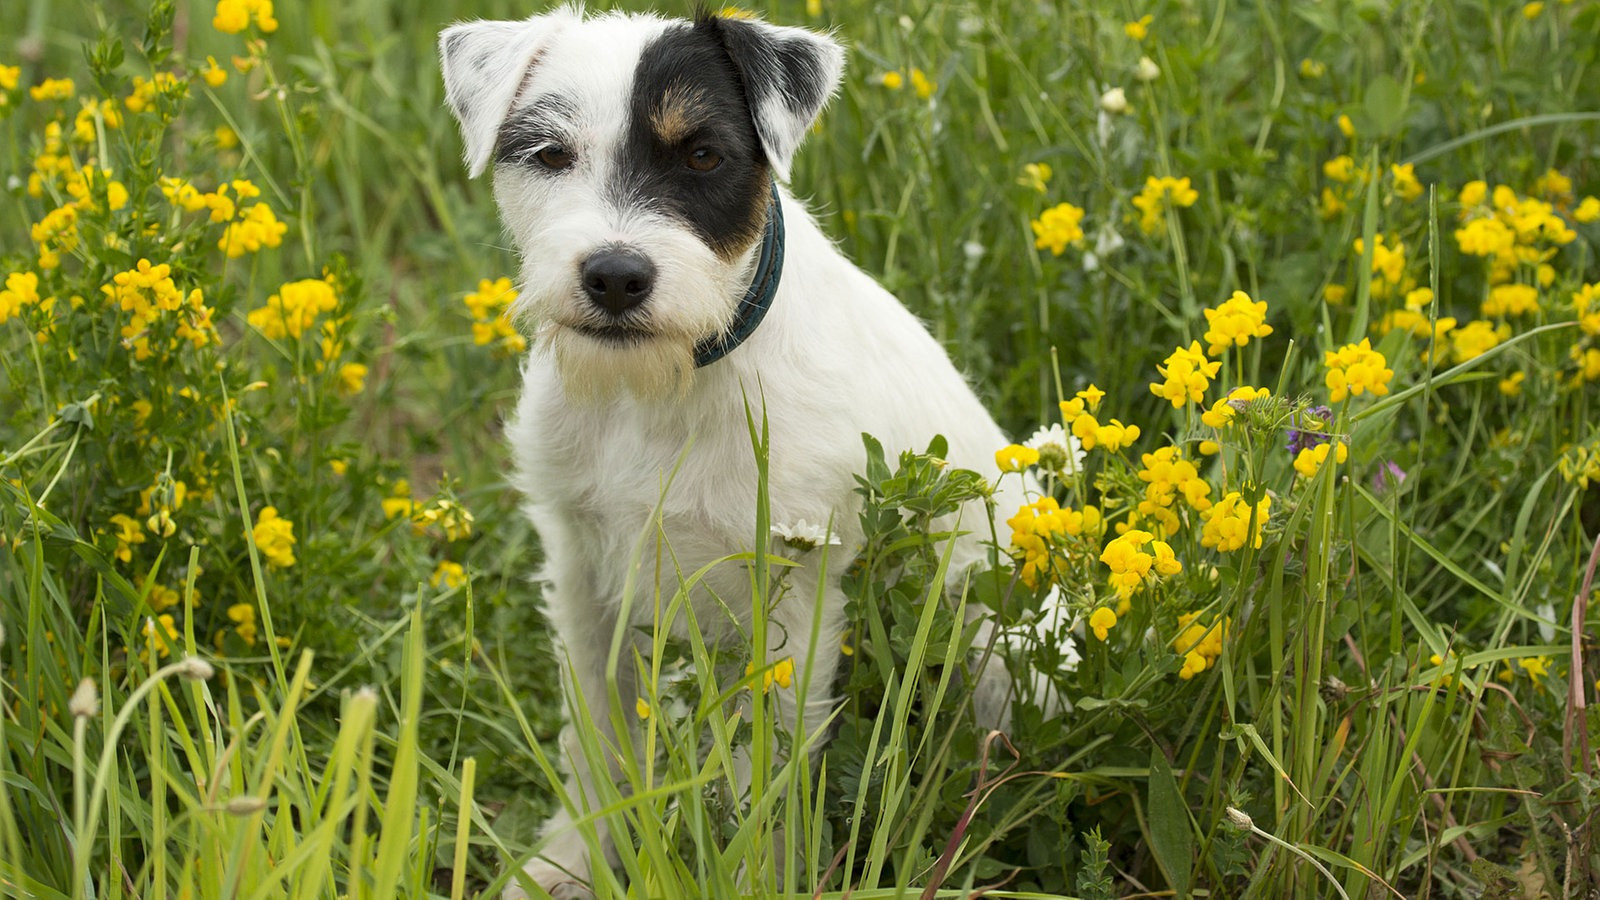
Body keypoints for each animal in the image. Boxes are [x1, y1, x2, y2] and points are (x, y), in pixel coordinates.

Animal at [441, 5, 1024, 890]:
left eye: (703, 155)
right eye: (551, 155)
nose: (616, 277)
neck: (666, 382)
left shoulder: (793, 599)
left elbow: (768, 773)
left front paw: (756, 876)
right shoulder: (583, 574)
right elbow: (597, 738)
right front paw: (572, 859)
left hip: (997, 647)